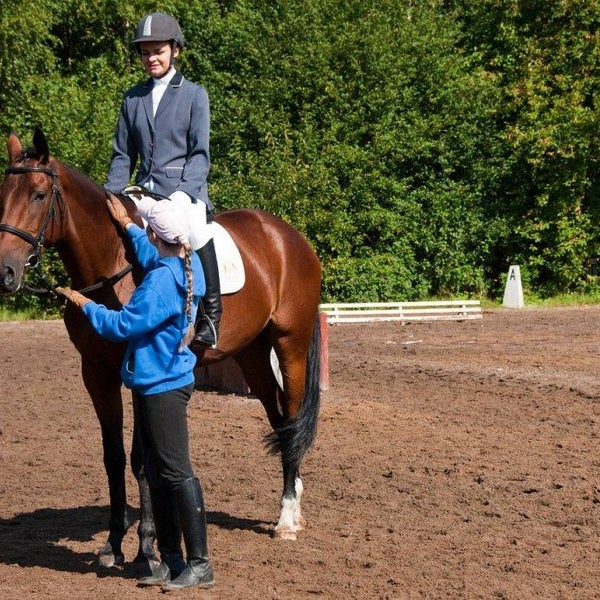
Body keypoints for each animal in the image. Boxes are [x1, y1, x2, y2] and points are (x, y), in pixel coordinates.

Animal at [0, 129, 324, 568]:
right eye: (3, 193)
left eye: (37, 195)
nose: (5, 272)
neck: (113, 262)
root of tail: (287, 235)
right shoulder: (96, 374)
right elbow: (113, 457)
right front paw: (113, 544)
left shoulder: (140, 373)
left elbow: (142, 459)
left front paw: (147, 548)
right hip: (253, 355)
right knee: (278, 418)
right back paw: (294, 502)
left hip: (289, 344)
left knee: (290, 414)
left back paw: (287, 518)